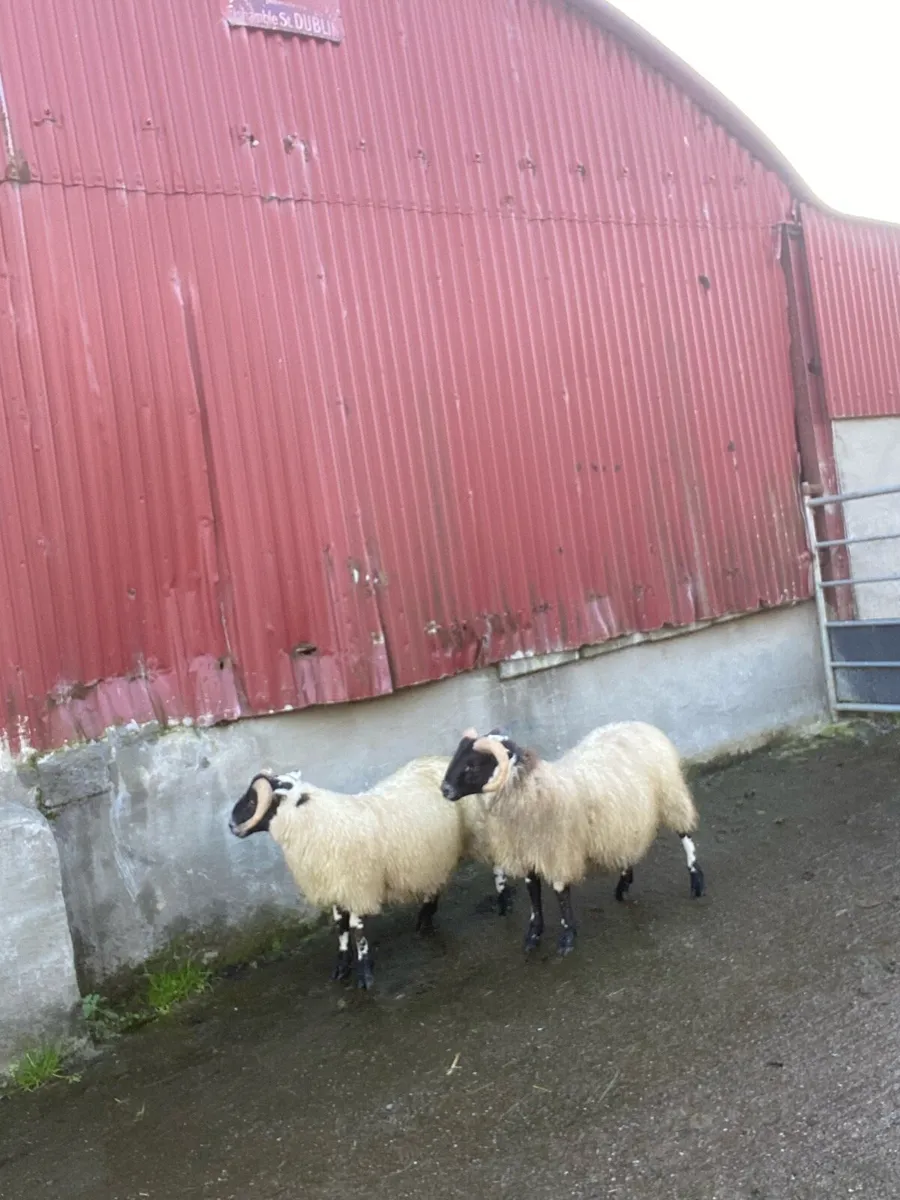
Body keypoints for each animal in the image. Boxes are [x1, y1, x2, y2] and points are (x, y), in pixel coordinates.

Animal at [229, 755, 497, 989]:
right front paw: (341, 968)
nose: (231, 826)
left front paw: (365, 975)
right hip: (435, 852)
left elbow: (357, 932)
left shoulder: (358, 886)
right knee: (436, 883)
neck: (315, 822)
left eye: (252, 801)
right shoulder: (336, 887)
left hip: (480, 831)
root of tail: (443, 759)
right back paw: (425, 919)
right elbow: (341, 928)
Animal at [440, 722, 705, 957]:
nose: (444, 790)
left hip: (671, 795)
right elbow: (533, 894)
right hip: (625, 817)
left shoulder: (558, 850)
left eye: (473, 765)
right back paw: (623, 884)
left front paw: (567, 938)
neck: (532, 792)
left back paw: (696, 880)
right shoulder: (528, 852)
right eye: (457, 756)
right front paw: (533, 935)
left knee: (685, 835)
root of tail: (641, 725)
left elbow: (560, 893)